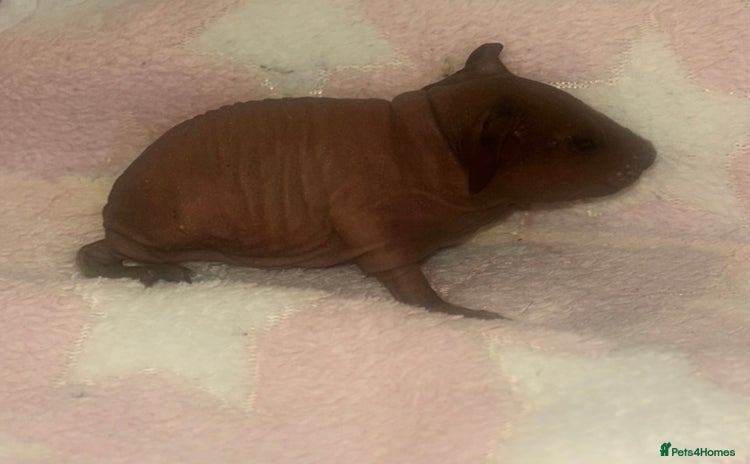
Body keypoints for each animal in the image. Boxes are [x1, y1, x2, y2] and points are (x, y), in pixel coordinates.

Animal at [77, 43, 656, 319]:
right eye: (584, 142)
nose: (650, 154)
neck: (429, 142)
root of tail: (111, 211)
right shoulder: (369, 223)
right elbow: (411, 288)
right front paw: (463, 313)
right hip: (165, 228)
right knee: (100, 257)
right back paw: (156, 272)